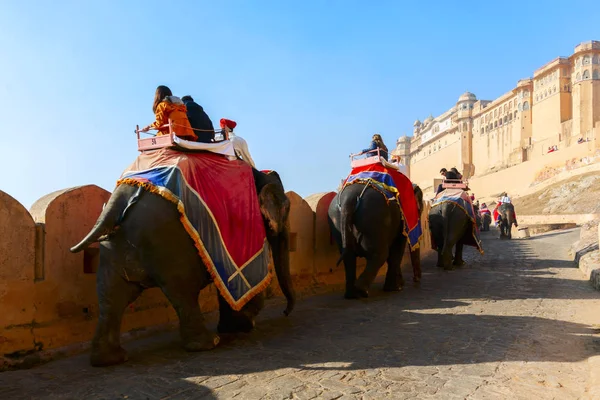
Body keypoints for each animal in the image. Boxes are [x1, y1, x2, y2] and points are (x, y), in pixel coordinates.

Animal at [70, 167, 296, 368]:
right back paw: (207, 343)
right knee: (183, 292)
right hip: (170, 244)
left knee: (112, 297)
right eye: (286, 208)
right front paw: (244, 326)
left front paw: (234, 327)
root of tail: (116, 203)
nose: (285, 312)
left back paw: (110, 360)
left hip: (112, 247)